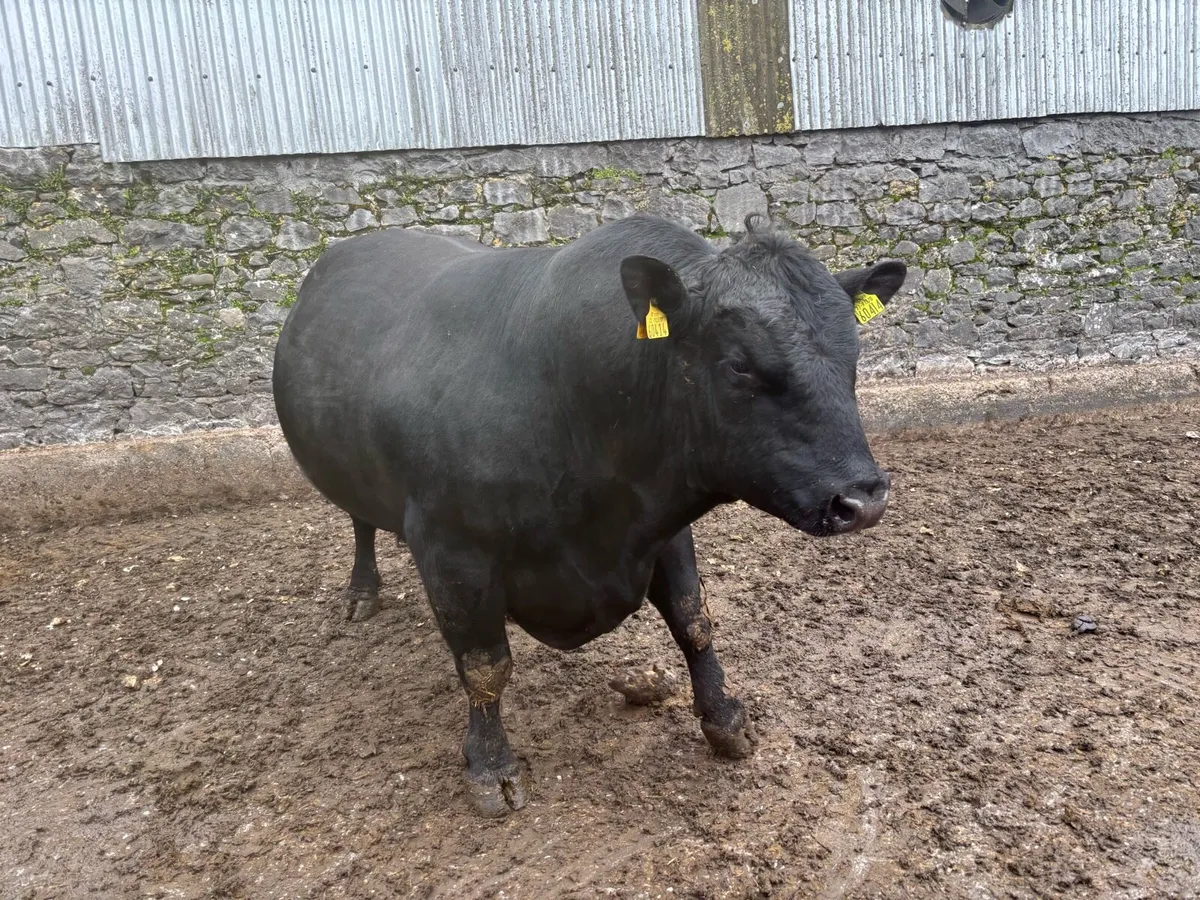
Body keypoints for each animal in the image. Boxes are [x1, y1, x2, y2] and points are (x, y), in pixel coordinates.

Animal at [272, 213, 906, 817]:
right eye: (738, 366)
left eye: (853, 353)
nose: (862, 499)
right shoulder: (451, 546)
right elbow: (484, 665)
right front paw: (491, 768)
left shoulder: (662, 524)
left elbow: (693, 620)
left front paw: (726, 719)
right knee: (359, 521)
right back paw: (361, 591)